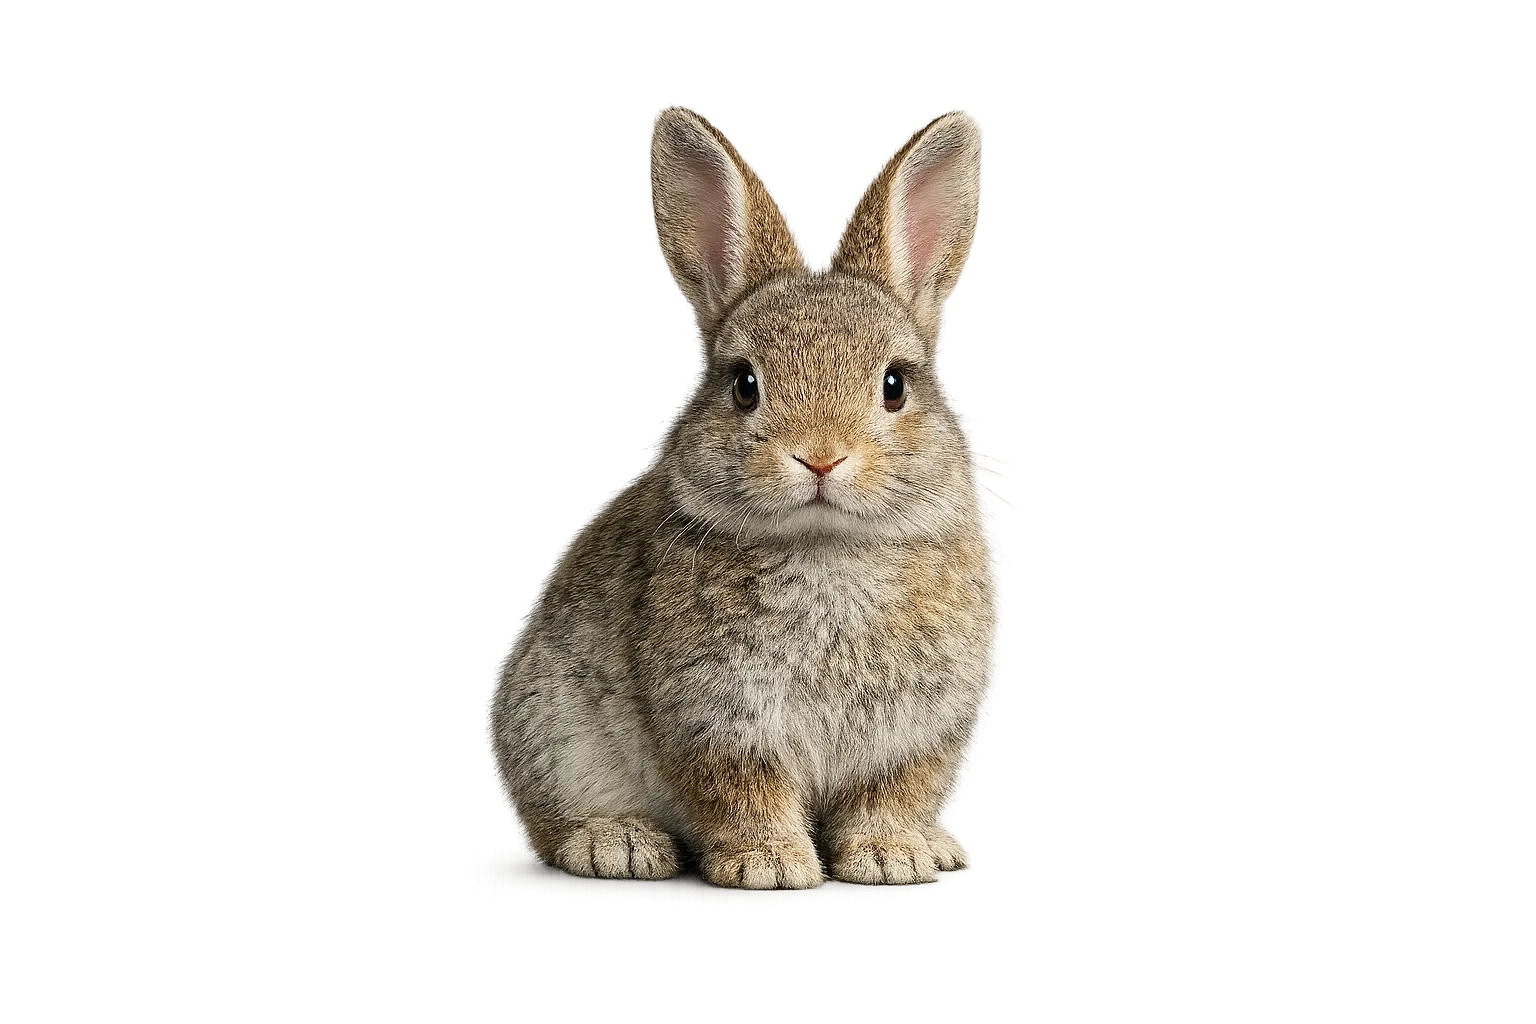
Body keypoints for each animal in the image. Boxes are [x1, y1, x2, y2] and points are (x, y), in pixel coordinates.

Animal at [493, 106, 994, 889]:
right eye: (744, 385)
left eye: (894, 385)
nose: (821, 456)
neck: (828, 548)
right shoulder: (713, 719)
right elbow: (742, 791)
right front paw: (771, 865)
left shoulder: (915, 736)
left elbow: (890, 794)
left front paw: (892, 857)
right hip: (555, 732)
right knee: (554, 826)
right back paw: (619, 844)